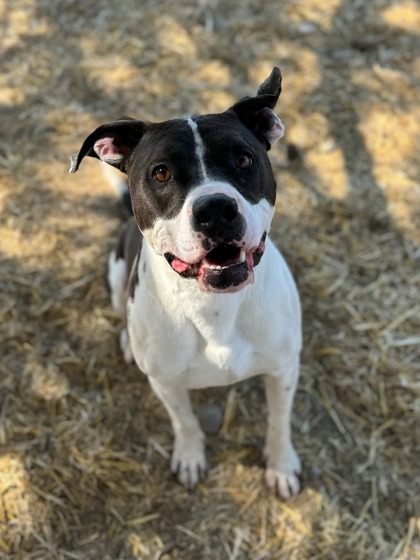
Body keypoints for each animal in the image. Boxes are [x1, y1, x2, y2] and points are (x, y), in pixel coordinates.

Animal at [69, 66, 302, 498]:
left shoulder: (283, 369)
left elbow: (279, 422)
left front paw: (281, 465)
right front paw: (191, 456)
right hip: (116, 275)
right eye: (161, 172)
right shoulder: (165, 383)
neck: (214, 307)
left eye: (243, 159)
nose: (216, 209)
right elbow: (185, 421)